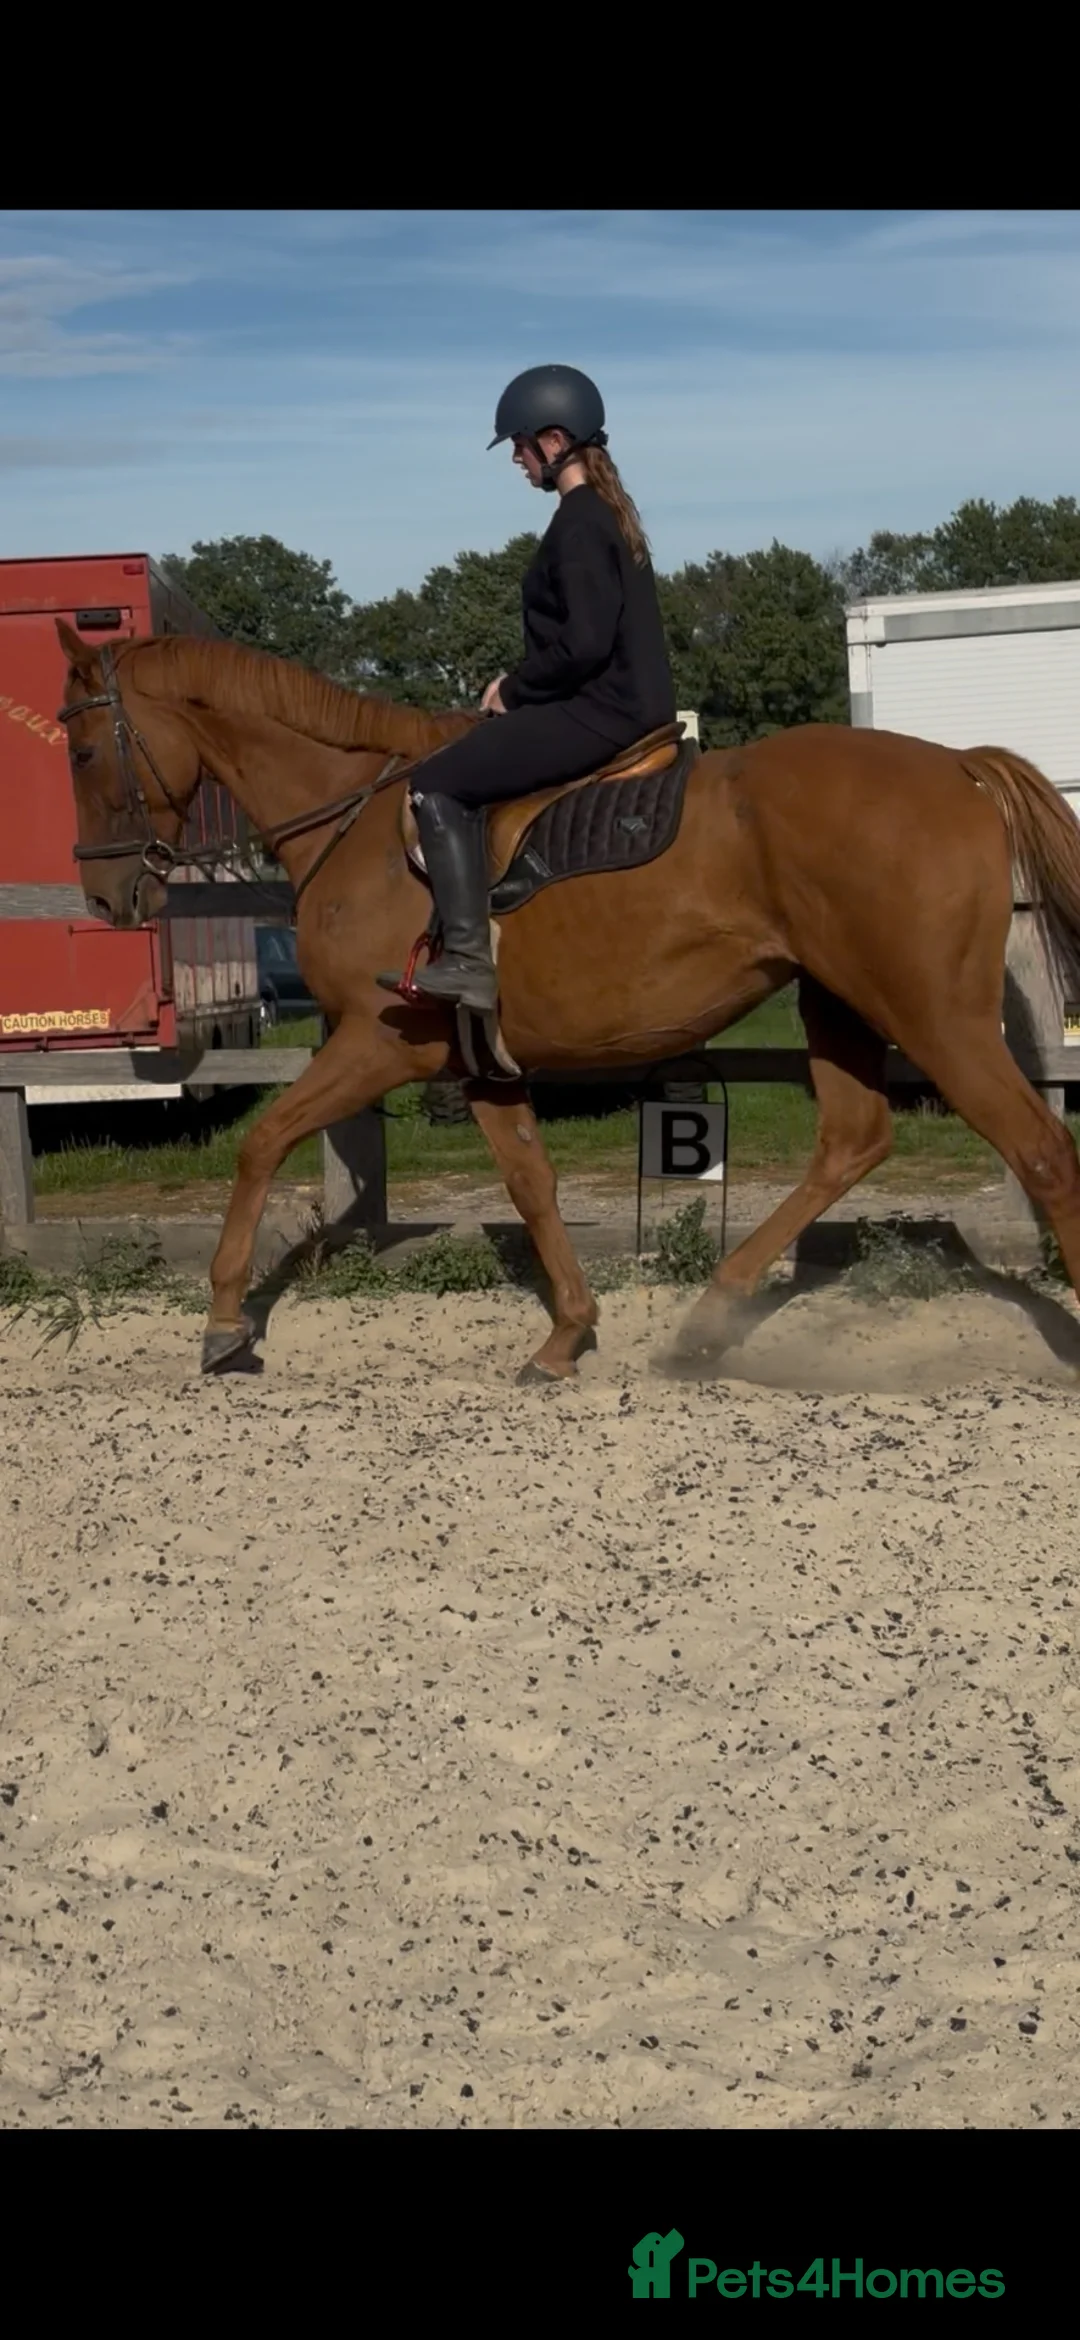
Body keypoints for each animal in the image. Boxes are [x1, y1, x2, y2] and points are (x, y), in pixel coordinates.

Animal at [53, 618, 1080, 1383]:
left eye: (82, 747)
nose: (106, 898)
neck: (358, 825)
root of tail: (956, 766)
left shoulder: (381, 1044)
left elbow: (262, 1142)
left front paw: (225, 1325)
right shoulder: (481, 1062)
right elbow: (531, 1183)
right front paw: (566, 1335)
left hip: (932, 1015)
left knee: (1040, 1149)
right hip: (840, 1004)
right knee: (854, 1141)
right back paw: (705, 1320)